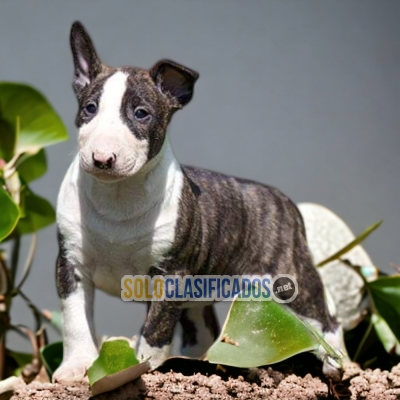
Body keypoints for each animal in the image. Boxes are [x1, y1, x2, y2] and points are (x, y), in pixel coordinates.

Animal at [53, 21, 344, 384]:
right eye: (89, 109)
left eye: (141, 114)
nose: (102, 158)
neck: (118, 197)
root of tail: (284, 201)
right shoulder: (70, 265)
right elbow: (75, 321)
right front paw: (76, 367)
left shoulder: (170, 273)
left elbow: (156, 329)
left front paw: (145, 368)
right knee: (204, 331)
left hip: (290, 280)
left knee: (327, 320)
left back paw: (336, 365)